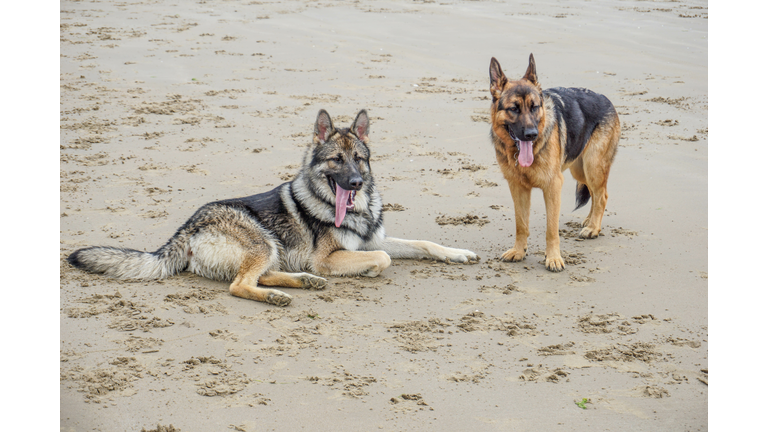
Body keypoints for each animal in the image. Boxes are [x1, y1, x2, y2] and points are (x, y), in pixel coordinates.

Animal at [70, 111, 480, 308]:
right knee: (240, 285)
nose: (354, 184)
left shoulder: (372, 239)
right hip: (262, 241)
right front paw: (370, 272)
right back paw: (279, 295)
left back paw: (301, 283)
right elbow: (383, 258)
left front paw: (458, 253)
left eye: (359, 160)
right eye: (336, 160)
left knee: (260, 276)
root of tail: (186, 228)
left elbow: (424, 244)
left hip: (270, 249)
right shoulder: (331, 258)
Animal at [488, 53, 620, 270]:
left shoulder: (553, 186)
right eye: (514, 109)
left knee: (602, 195)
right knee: (595, 193)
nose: (532, 134)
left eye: (534, 107)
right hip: (580, 171)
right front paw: (519, 251)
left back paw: (593, 228)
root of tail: (605, 98)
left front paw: (553, 258)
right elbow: (521, 224)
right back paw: (590, 220)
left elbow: (551, 228)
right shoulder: (517, 188)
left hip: (592, 166)